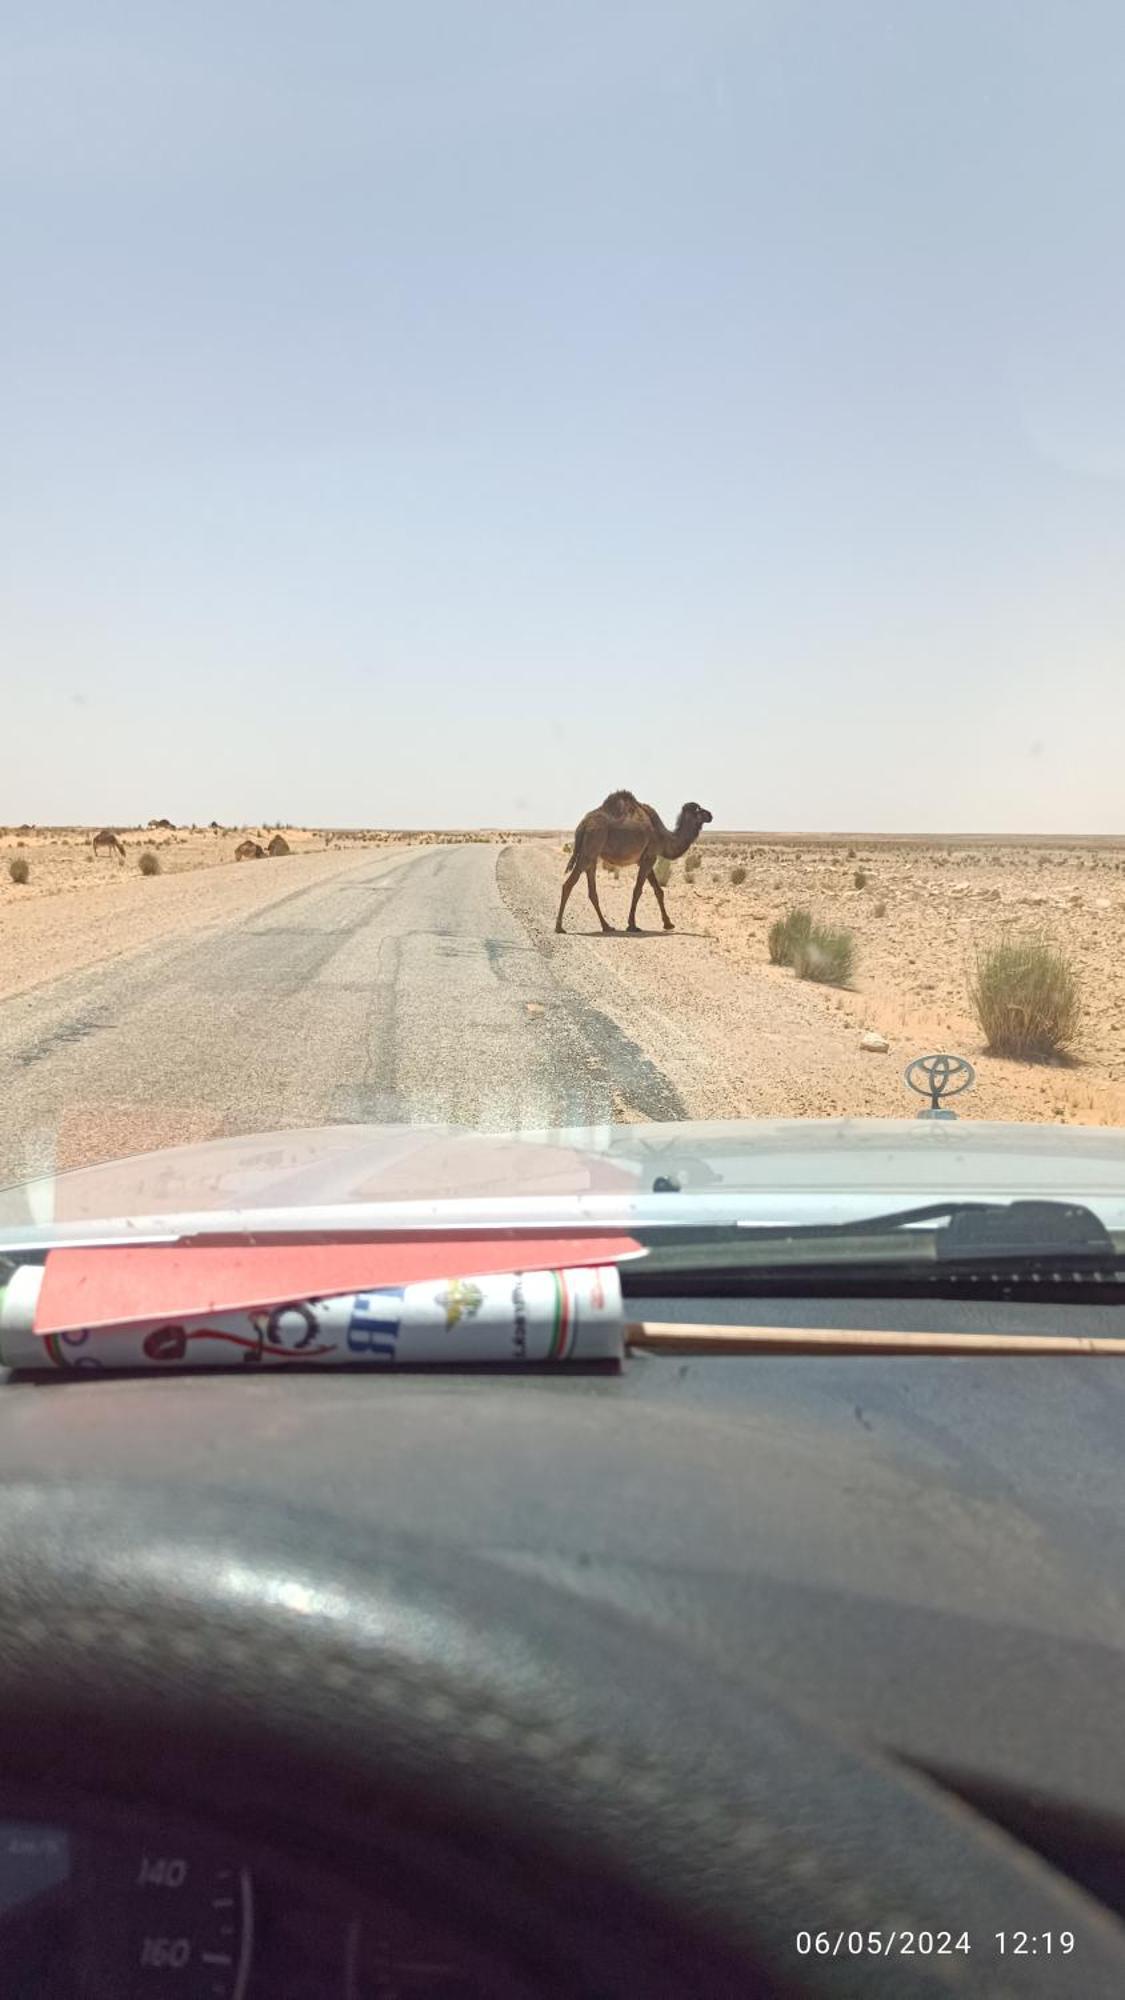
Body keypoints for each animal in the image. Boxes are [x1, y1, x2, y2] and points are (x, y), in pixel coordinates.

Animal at [552, 788, 708, 936]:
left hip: (592, 855)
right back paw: (559, 927)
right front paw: (632, 925)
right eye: (699, 811)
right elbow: (637, 890)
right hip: (590, 849)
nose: (711, 815)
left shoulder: (646, 858)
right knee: (568, 885)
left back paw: (607, 926)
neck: (664, 837)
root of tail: (582, 825)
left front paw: (668, 924)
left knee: (592, 891)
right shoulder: (650, 857)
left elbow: (658, 891)